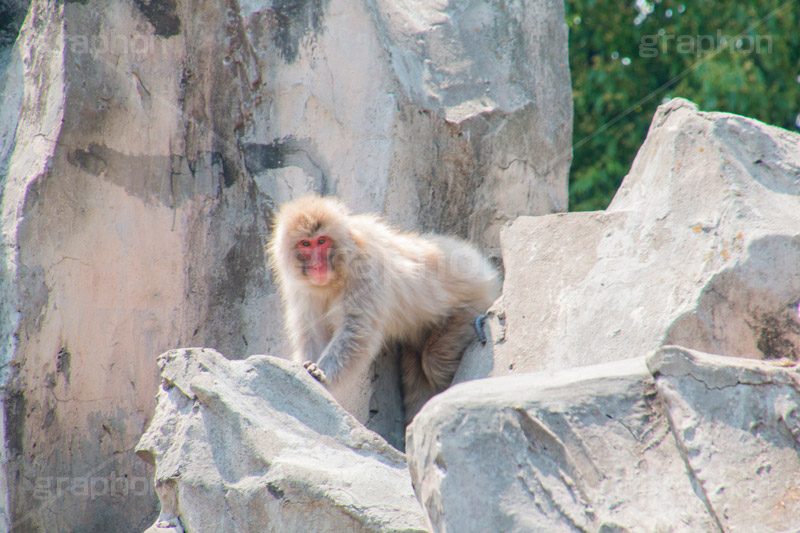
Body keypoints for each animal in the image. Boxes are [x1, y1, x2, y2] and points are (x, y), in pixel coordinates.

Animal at [268, 193, 500, 422]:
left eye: (322, 241)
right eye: (306, 244)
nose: (318, 265)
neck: (335, 275)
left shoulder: (365, 268)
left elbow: (356, 332)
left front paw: (318, 373)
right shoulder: (301, 289)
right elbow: (313, 334)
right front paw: (304, 370)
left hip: (474, 301)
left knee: (435, 361)